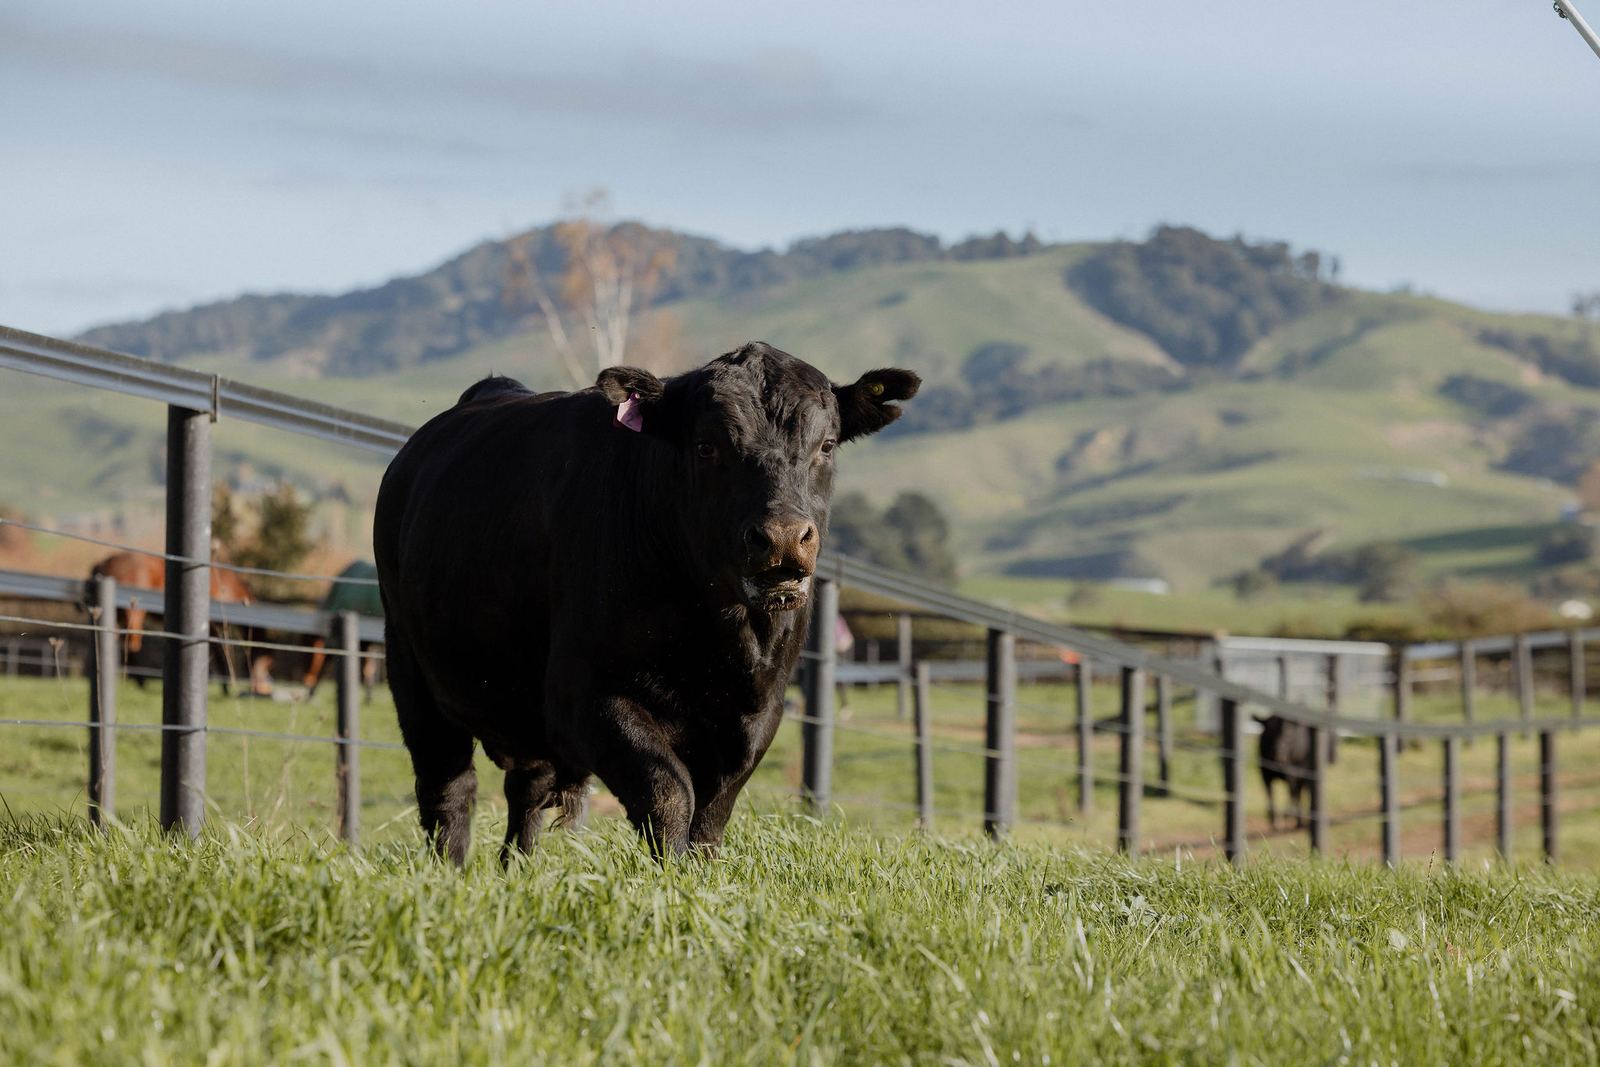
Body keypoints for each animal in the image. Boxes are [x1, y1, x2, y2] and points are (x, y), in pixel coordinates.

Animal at [374, 341, 919, 864]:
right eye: (706, 447)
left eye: (825, 445)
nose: (783, 537)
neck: (715, 631)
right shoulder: (586, 694)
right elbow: (668, 792)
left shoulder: (758, 711)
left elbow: (713, 811)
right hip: (411, 670)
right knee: (449, 790)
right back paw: (449, 872)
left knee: (526, 792)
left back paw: (518, 873)